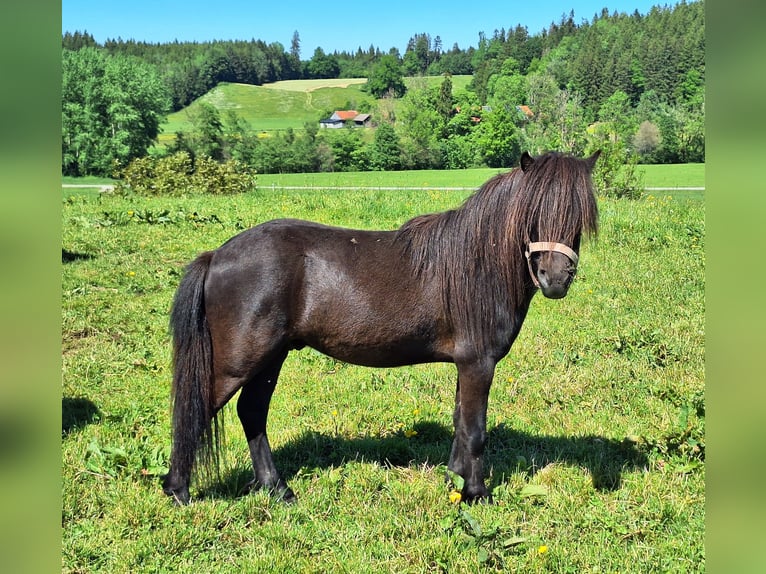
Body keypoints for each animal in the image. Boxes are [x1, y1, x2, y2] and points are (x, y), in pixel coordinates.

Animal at [162, 150, 600, 505]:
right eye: (533, 212)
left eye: (578, 215)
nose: (555, 279)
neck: (476, 263)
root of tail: (217, 255)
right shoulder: (478, 363)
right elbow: (475, 430)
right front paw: (476, 494)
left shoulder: (465, 365)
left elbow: (460, 423)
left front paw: (455, 481)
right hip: (239, 362)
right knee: (198, 411)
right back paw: (179, 490)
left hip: (271, 358)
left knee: (252, 413)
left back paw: (278, 488)